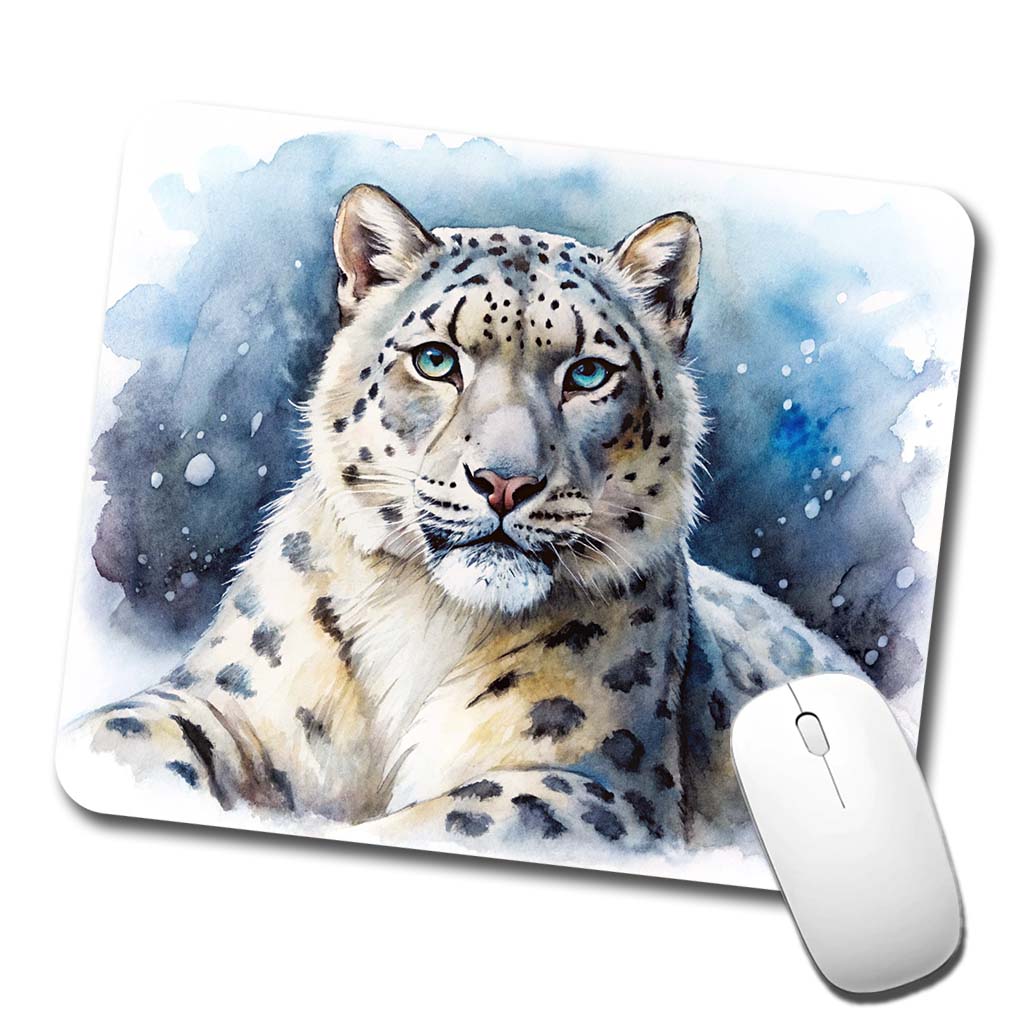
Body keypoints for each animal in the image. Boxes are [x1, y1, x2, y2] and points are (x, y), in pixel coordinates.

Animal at [60, 183, 872, 870]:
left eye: (587, 373)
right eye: (435, 359)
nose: (505, 481)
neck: (423, 617)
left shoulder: (597, 786)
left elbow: (456, 816)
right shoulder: (228, 703)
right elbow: (125, 729)